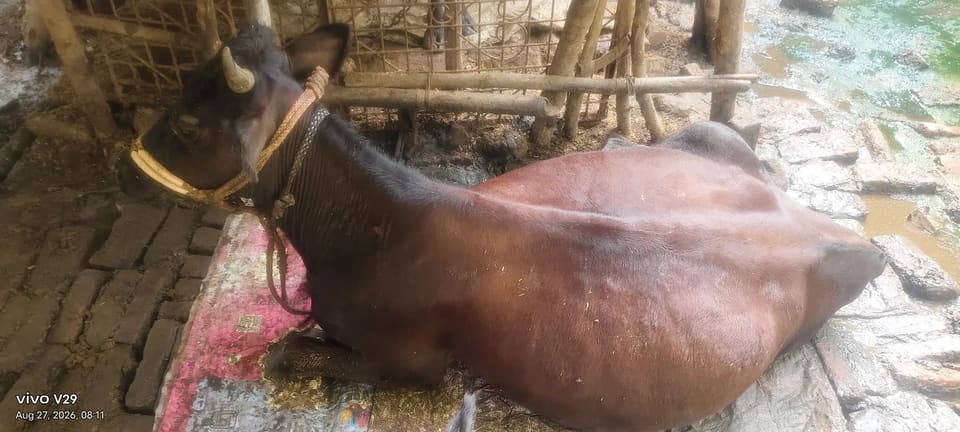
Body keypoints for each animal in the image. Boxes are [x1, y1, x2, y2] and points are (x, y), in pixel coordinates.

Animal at [118, 23, 886, 432]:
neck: (363, 238)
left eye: (189, 123)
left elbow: (282, 352)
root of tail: (838, 232)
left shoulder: (413, 362)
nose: (130, 161)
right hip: (709, 138)